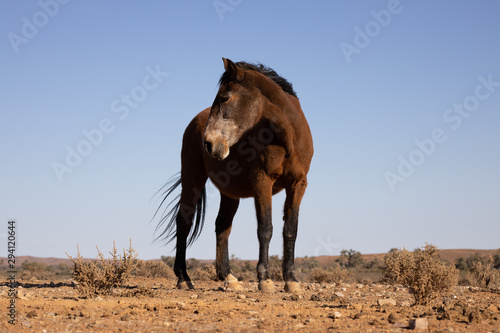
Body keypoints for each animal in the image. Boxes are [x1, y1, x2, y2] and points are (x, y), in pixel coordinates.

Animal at [154, 58, 314, 292]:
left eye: (225, 97)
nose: (209, 143)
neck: (288, 138)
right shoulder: (262, 181)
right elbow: (265, 228)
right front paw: (264, 280)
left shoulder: (298, 184)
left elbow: (290, 230)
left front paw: (291, 281)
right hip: (192, 180)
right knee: (184, 221)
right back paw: (184, 278)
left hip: (230, 194)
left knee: (222, 226)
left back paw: (228, 277)